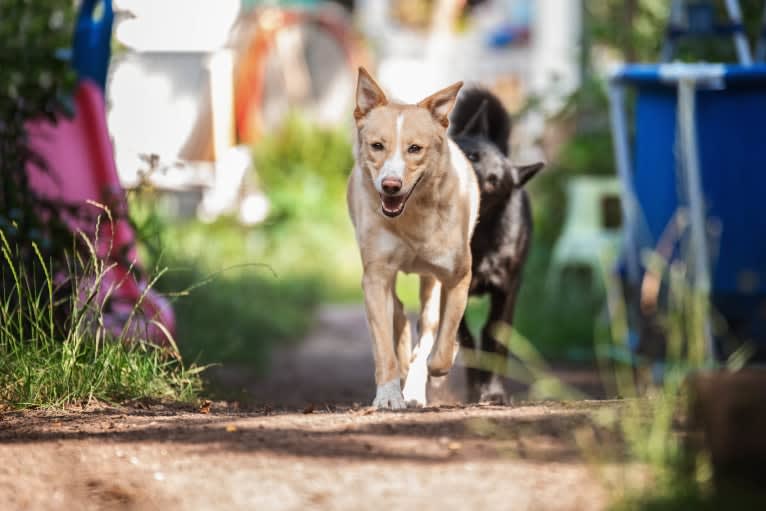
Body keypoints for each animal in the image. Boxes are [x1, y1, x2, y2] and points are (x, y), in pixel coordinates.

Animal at [348, 68, 480, 408]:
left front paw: (436, 365)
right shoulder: (375, 275)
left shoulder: (458, 275)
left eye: (415, 149)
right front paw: (388, 395)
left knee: (429, 322)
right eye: (377, 145)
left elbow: (444, 335)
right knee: (397, 312)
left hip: (432, 279)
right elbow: (383, 344)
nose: (391, 185)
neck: (412, 218)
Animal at [450, 89, 544, 404]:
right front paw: (474, 388)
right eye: (472, 156)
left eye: (493, 182)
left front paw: (492, 392)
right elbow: (465, 337)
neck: (477, 238)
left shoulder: (507, 290)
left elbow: (494, 339)